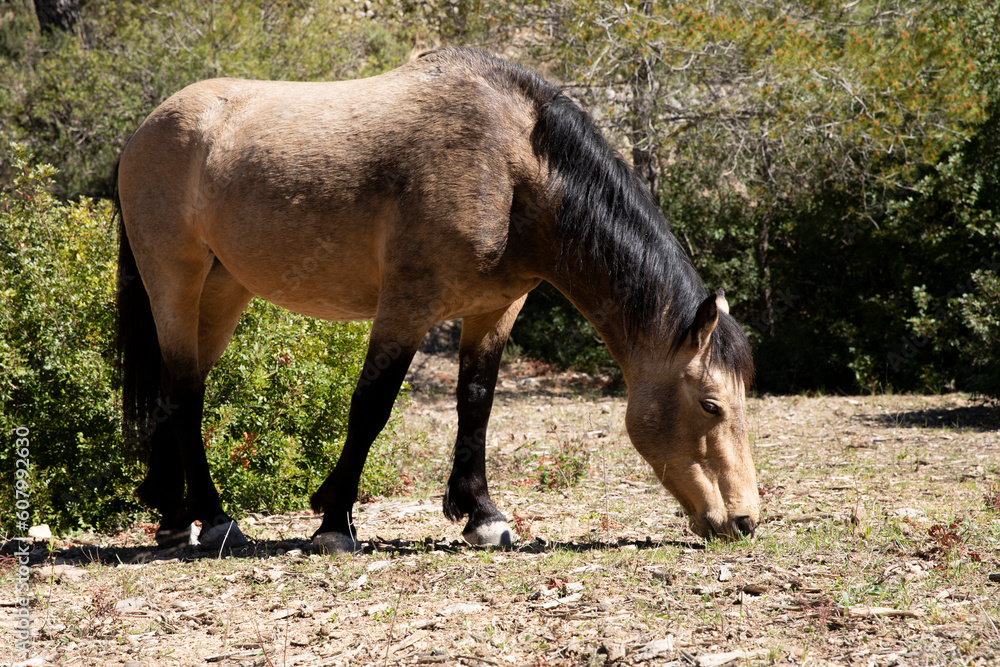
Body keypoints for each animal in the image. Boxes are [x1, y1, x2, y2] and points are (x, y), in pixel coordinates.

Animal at [114, 47, 759, 554]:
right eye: (711, 406)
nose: (745, 521)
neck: (511, 168)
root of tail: (146, 130)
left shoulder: (494, 310)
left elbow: (476, 403)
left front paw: (483, 516)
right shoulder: (407, 307)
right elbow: (371, 406)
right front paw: (335, 522)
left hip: (224, 290)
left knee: (178, 389)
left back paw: (174, 521)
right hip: (174, 281)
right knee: (182, 394)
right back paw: (216, 520)